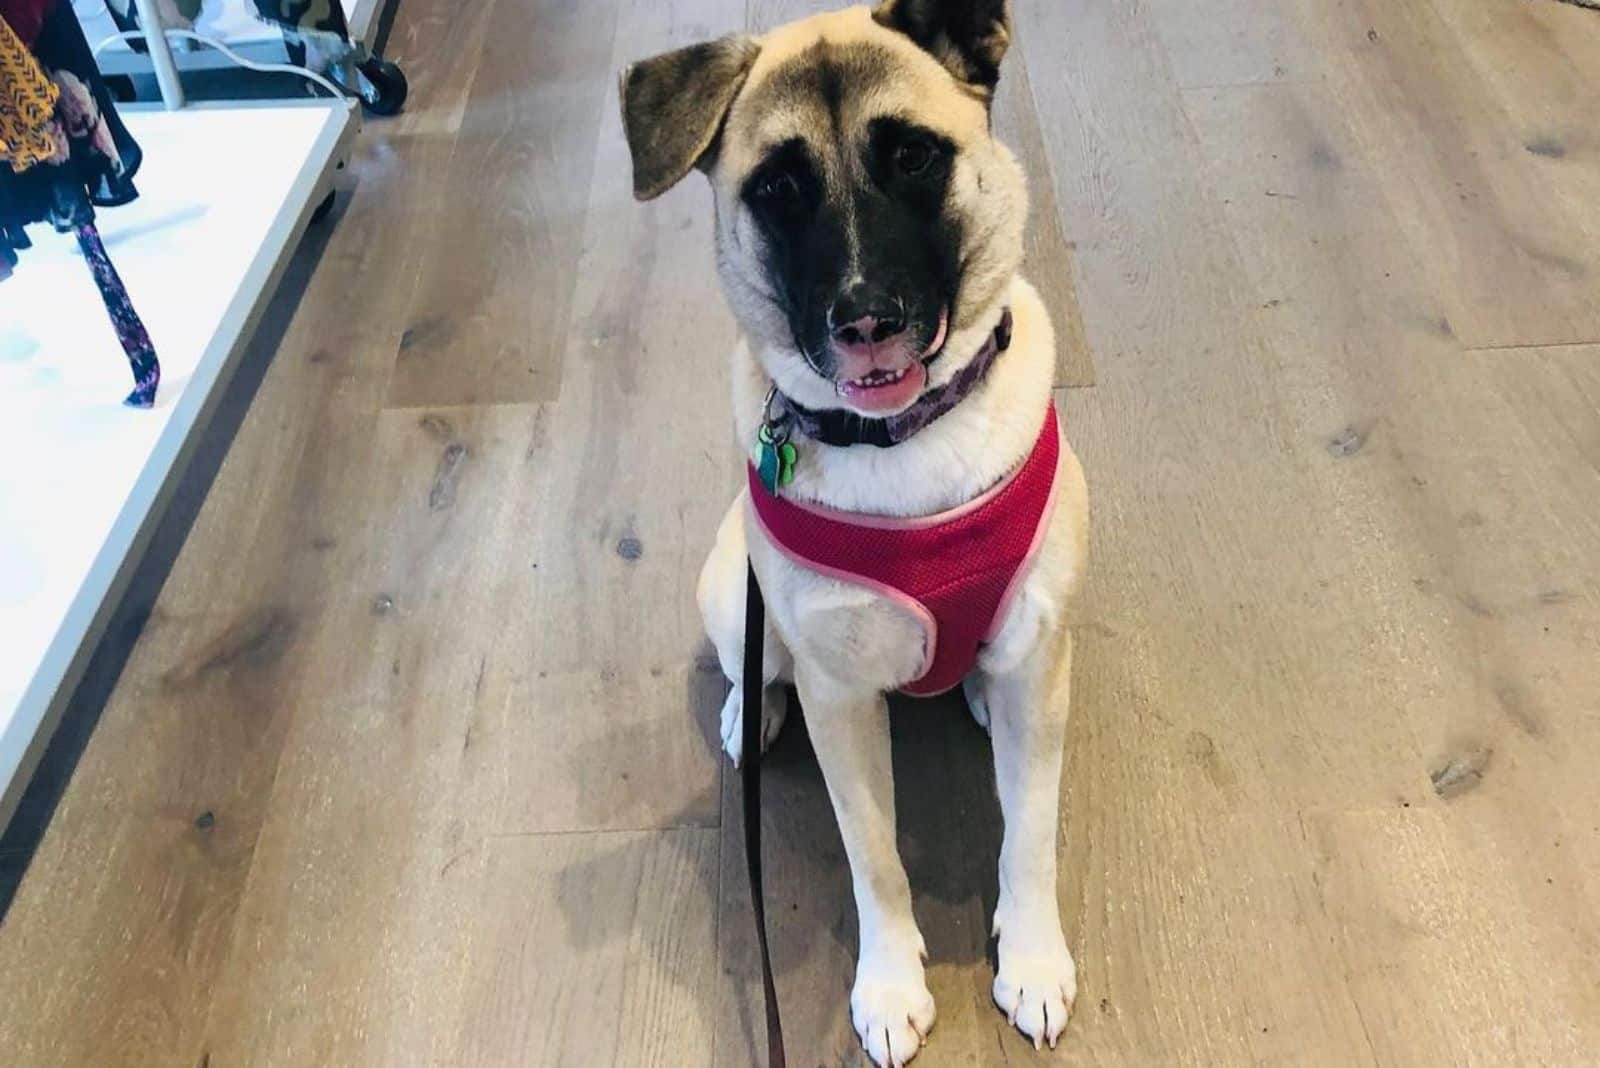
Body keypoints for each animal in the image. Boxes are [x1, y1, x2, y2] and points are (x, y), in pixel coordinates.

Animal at [620, 4, 1088, 1061]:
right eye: (777, 190)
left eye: (913, 157)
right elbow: (873, 855)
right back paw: (748, 713)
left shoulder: (1043, 660)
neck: (906, 437)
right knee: (753, 662)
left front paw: (1034, 958)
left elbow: (1032, 835)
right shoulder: (840, 696)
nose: (866, 319)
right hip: (731, 587)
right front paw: (888, 985)